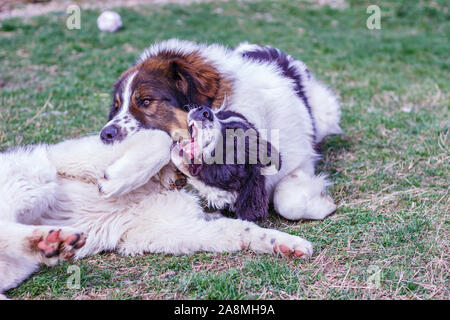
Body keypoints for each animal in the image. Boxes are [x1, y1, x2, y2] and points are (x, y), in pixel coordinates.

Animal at [0, 129, 312, 298]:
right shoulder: (69, 155)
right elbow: (159, 139)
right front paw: (115, 181)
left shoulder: (173, 229)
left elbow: (243, 230)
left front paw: (287, 244)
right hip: (36, 173)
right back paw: (53, 240)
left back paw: (51, 243)